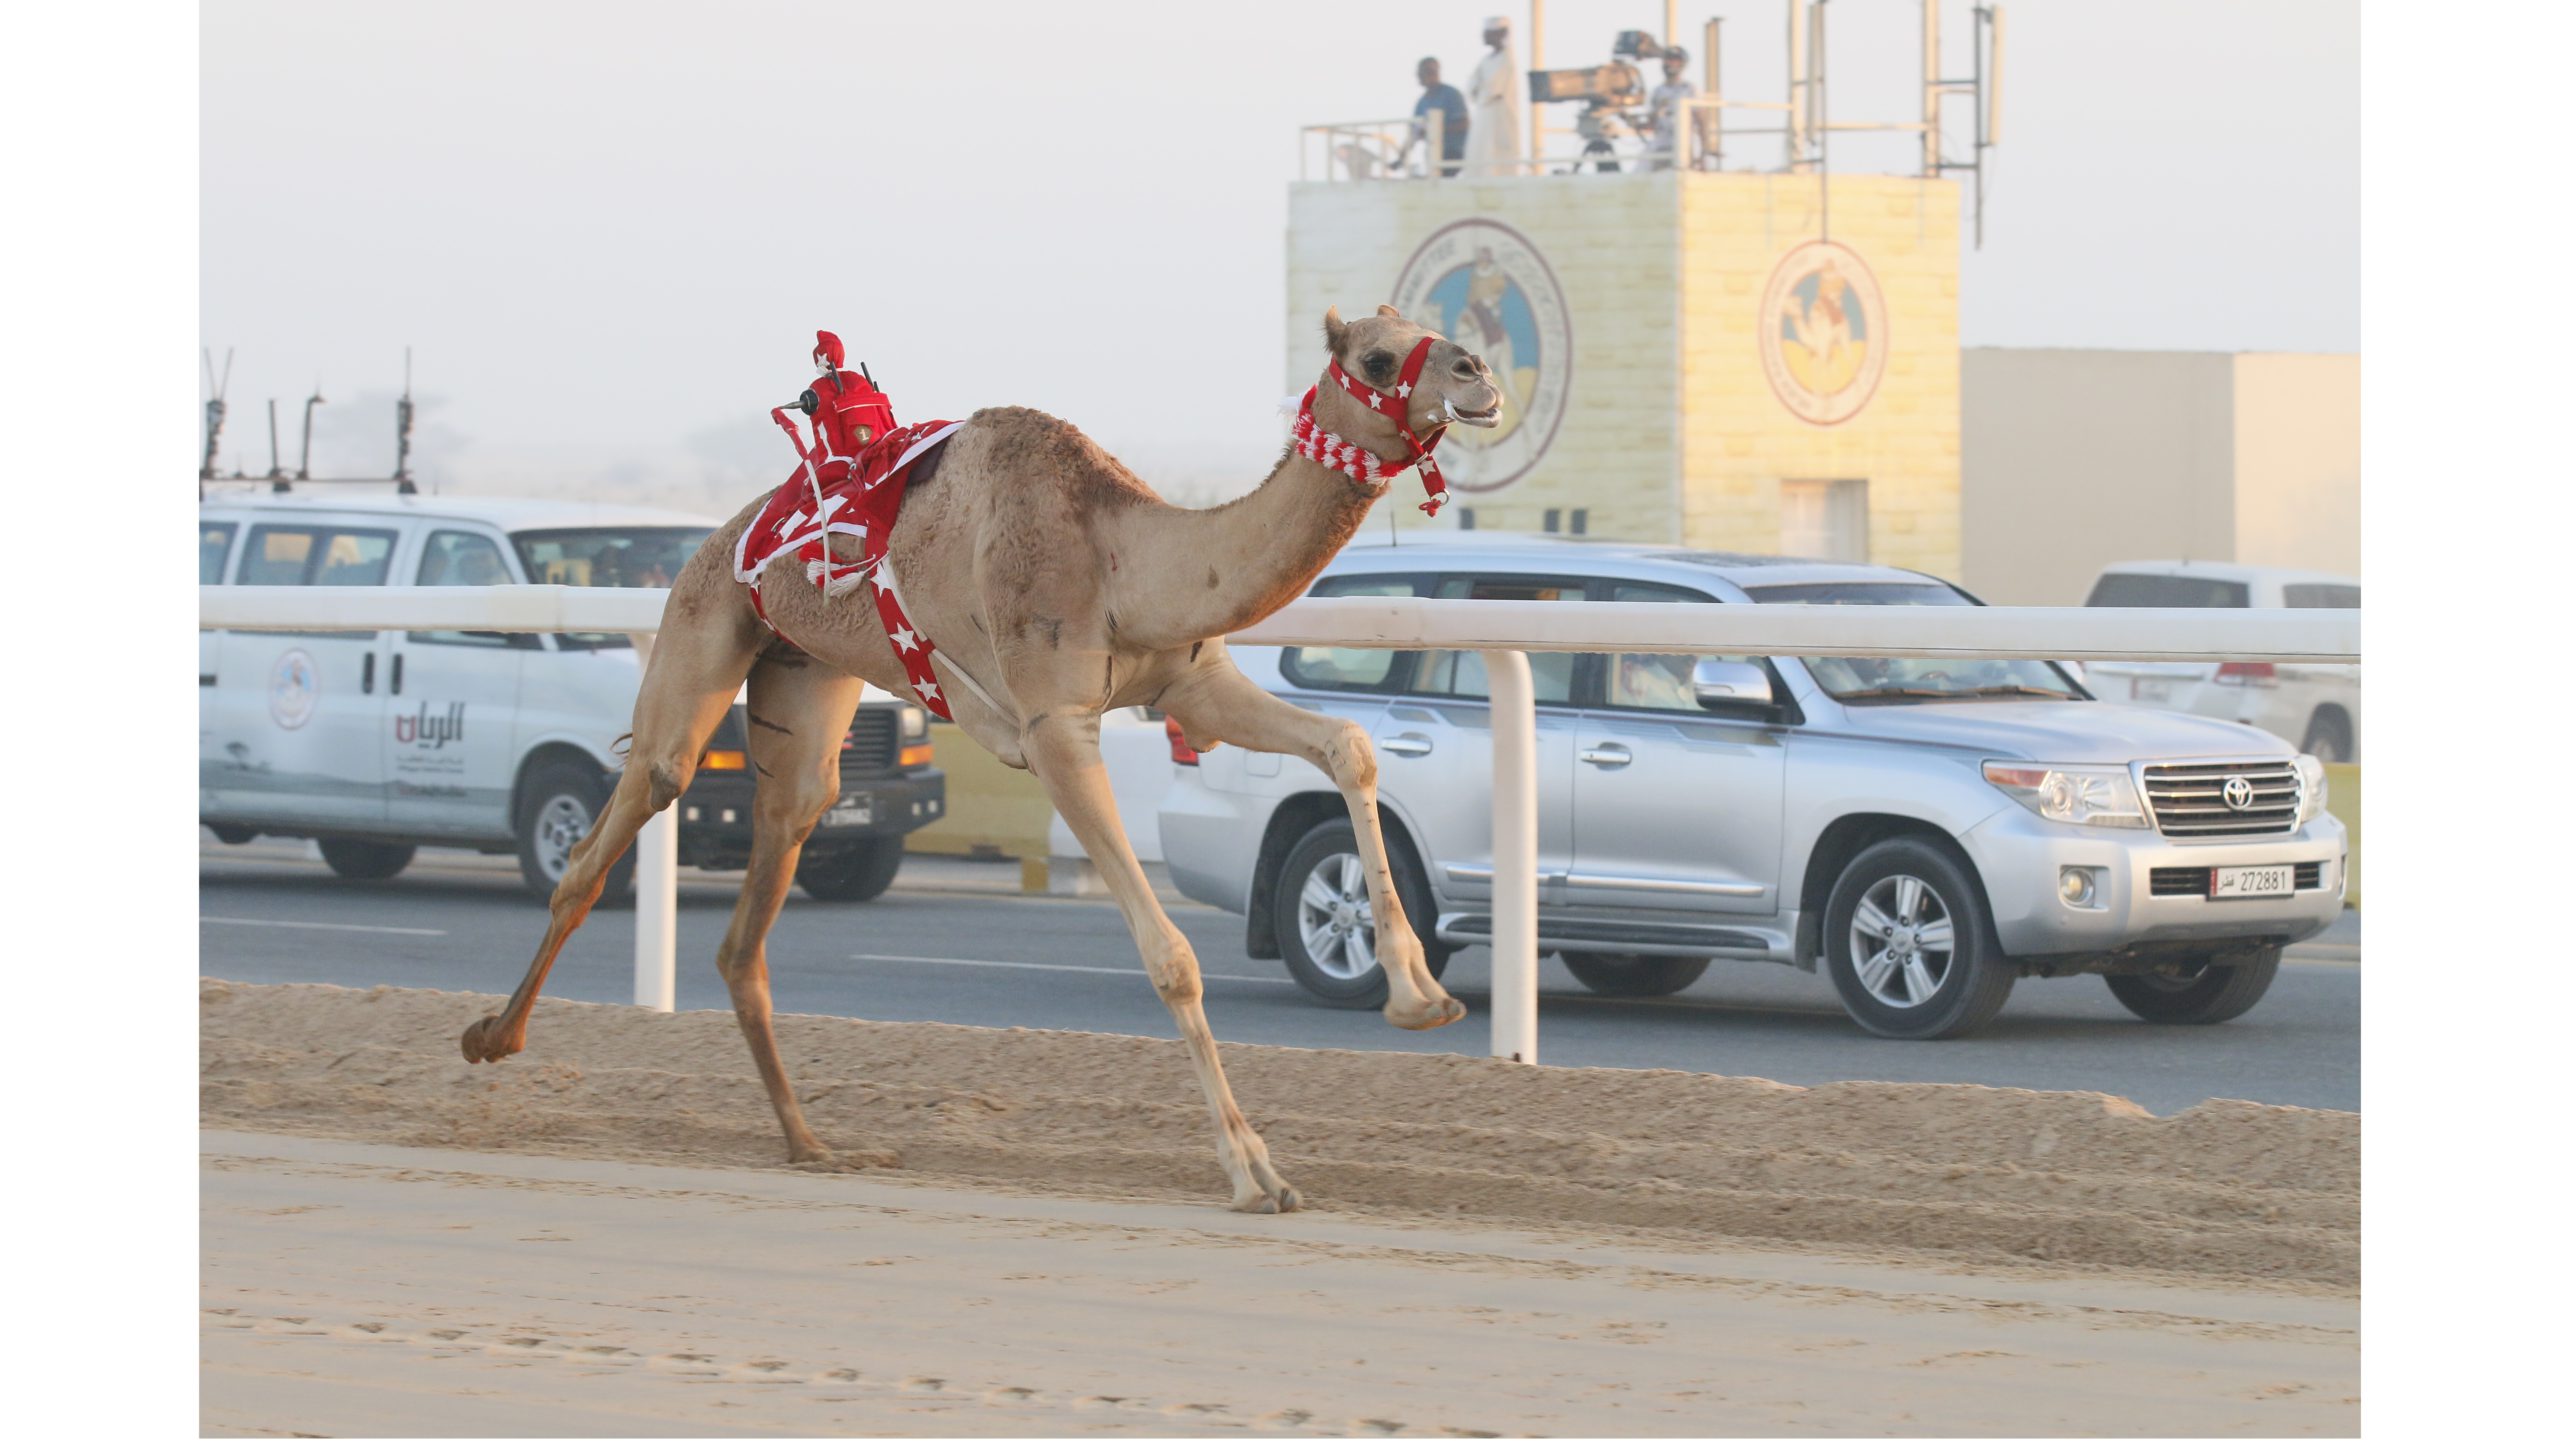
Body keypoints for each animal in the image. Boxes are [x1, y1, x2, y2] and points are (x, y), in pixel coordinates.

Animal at [460, 306, 1495, 1212]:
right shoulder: (1053, 727)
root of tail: (725, 532)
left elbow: (1350, 745)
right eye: (1376, 356)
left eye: (1430, 330)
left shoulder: (1188, 683)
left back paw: (813, 1145)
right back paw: (490, 1037)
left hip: (806, 682)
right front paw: (1253, 1173)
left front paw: (1421, 996)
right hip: (702, 627)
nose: (1477, 374)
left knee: (761, 892)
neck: (1123, 560)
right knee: (624, 820)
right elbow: (1170, 954)